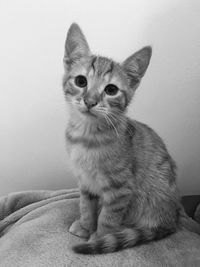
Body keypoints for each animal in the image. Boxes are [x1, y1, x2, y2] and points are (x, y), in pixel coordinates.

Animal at [63, 23, 180, 255]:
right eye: (81, 81)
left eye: (111, 90)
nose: (90, 101)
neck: (86, 136)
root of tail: (173, 219)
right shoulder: (85, 181)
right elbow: (86, 206)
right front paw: (85, 226)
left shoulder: (121, 189)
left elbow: (108, 217)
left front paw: (99, 236)